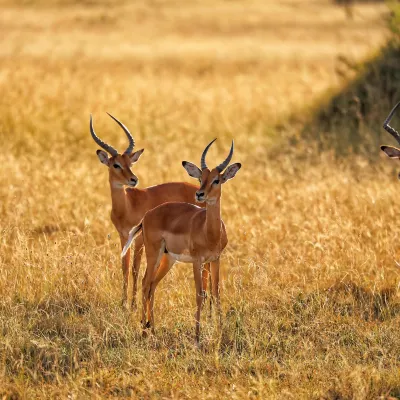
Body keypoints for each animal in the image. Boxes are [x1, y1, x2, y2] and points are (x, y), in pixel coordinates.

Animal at [90, 114, 209, 310]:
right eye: (116, 164)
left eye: (130, 163)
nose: (133, 179)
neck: (128, 205)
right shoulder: (123, 236)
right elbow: (124, 266)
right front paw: (123, 303)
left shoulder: (138, 239)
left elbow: (135, 269)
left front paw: (132, 305)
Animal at [121, 139, 241, 342]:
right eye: (201, 178)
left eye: (216, 180)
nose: (200, 194)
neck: (209, 232)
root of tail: (146, 216)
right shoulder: (197, 261)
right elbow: (200, 294)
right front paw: (197, 336)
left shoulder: (215, 259)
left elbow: (216, 293)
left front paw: (220, 330)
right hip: (154, 254)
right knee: (145, 283)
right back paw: (144, 329)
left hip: (168, 258)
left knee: (152, 285)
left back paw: (152, 328)